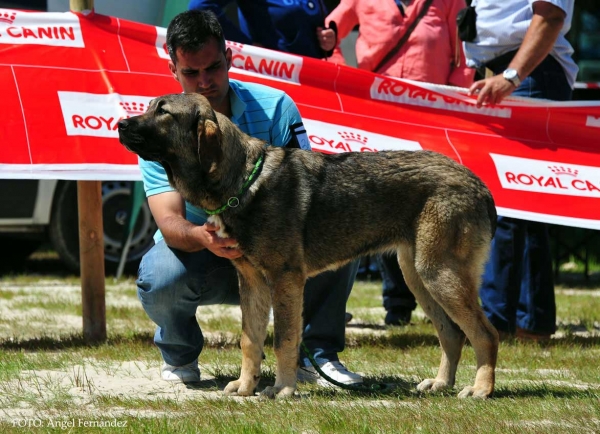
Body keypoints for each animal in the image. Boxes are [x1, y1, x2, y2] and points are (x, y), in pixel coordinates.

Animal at [116, 93, 496, 398]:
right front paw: (245, 387)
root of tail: (478, 184)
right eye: (149, 106)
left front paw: (282, 389)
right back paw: (441, 384)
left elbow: (283, 339)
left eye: (163, 111)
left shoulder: (285, 281)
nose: (120, 124)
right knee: (452, 335)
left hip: (438, 275)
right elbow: (250, 341)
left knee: (484, 333)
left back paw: (481, 389)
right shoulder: (252, 283)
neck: (244, 180)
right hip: (418, 276)